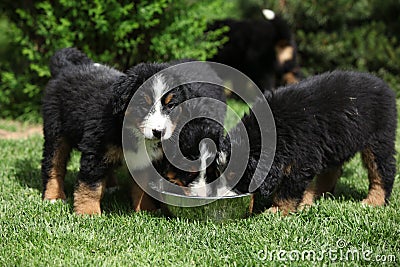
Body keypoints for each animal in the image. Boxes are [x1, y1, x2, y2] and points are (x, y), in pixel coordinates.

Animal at [42, 48, 227, 216]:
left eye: (171, 105)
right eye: (144, 104)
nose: (159, 132)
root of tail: (66, 68)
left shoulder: (144, 160)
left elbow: (141, 186)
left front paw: (145, 209)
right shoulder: (96, 150)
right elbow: (90, 185)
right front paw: (88, 213)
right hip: (56, 132)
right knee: (53, 164)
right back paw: (54, 196)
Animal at [212, 70, 396, 215]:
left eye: (235, 176)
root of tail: (382, 84)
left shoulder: (302, 158)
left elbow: (288, 190)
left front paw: (277, 210)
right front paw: (303, 203)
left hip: (379, 138)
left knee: (382, 171)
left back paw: (374, 201)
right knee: (331, 171)